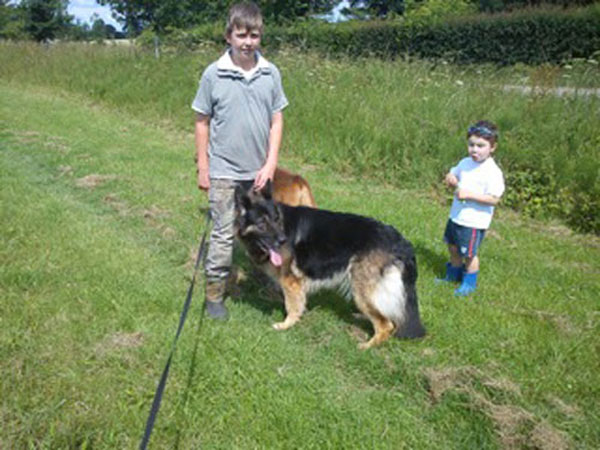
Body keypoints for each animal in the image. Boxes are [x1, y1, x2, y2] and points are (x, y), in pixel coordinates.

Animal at [234, 181, 426, 350]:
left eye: (276, 220)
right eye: (262, 224)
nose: (283, 240)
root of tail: (402, 242)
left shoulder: (290, 281)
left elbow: (291, 305)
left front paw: (286, 325)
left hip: (361, 288)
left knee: (386, 325)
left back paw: (367, 346)